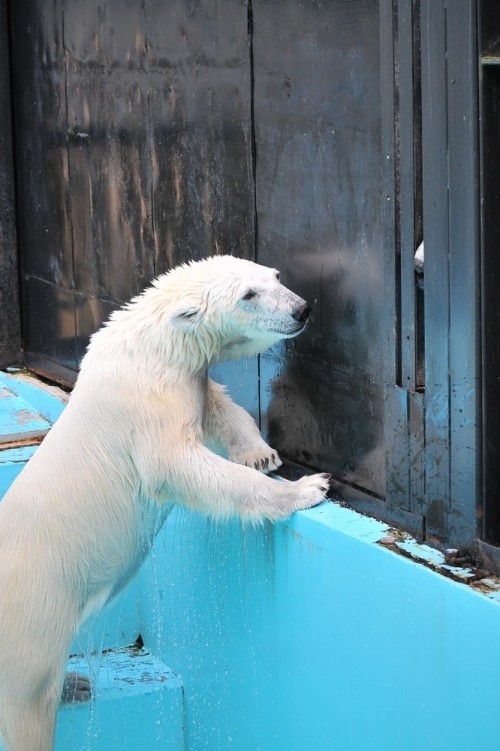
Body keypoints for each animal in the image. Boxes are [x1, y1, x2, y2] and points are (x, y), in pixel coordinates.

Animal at [0, 256, 328, 748]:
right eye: (248, 295)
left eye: (274, 276)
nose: (301, 310)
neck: (152, 345)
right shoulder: (146, 402)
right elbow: (177, 465)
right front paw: (304, 488)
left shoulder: (186, 378)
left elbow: (219, 407)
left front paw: (260, 454)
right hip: (35, 608)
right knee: (29, 699)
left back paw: (76, 683)